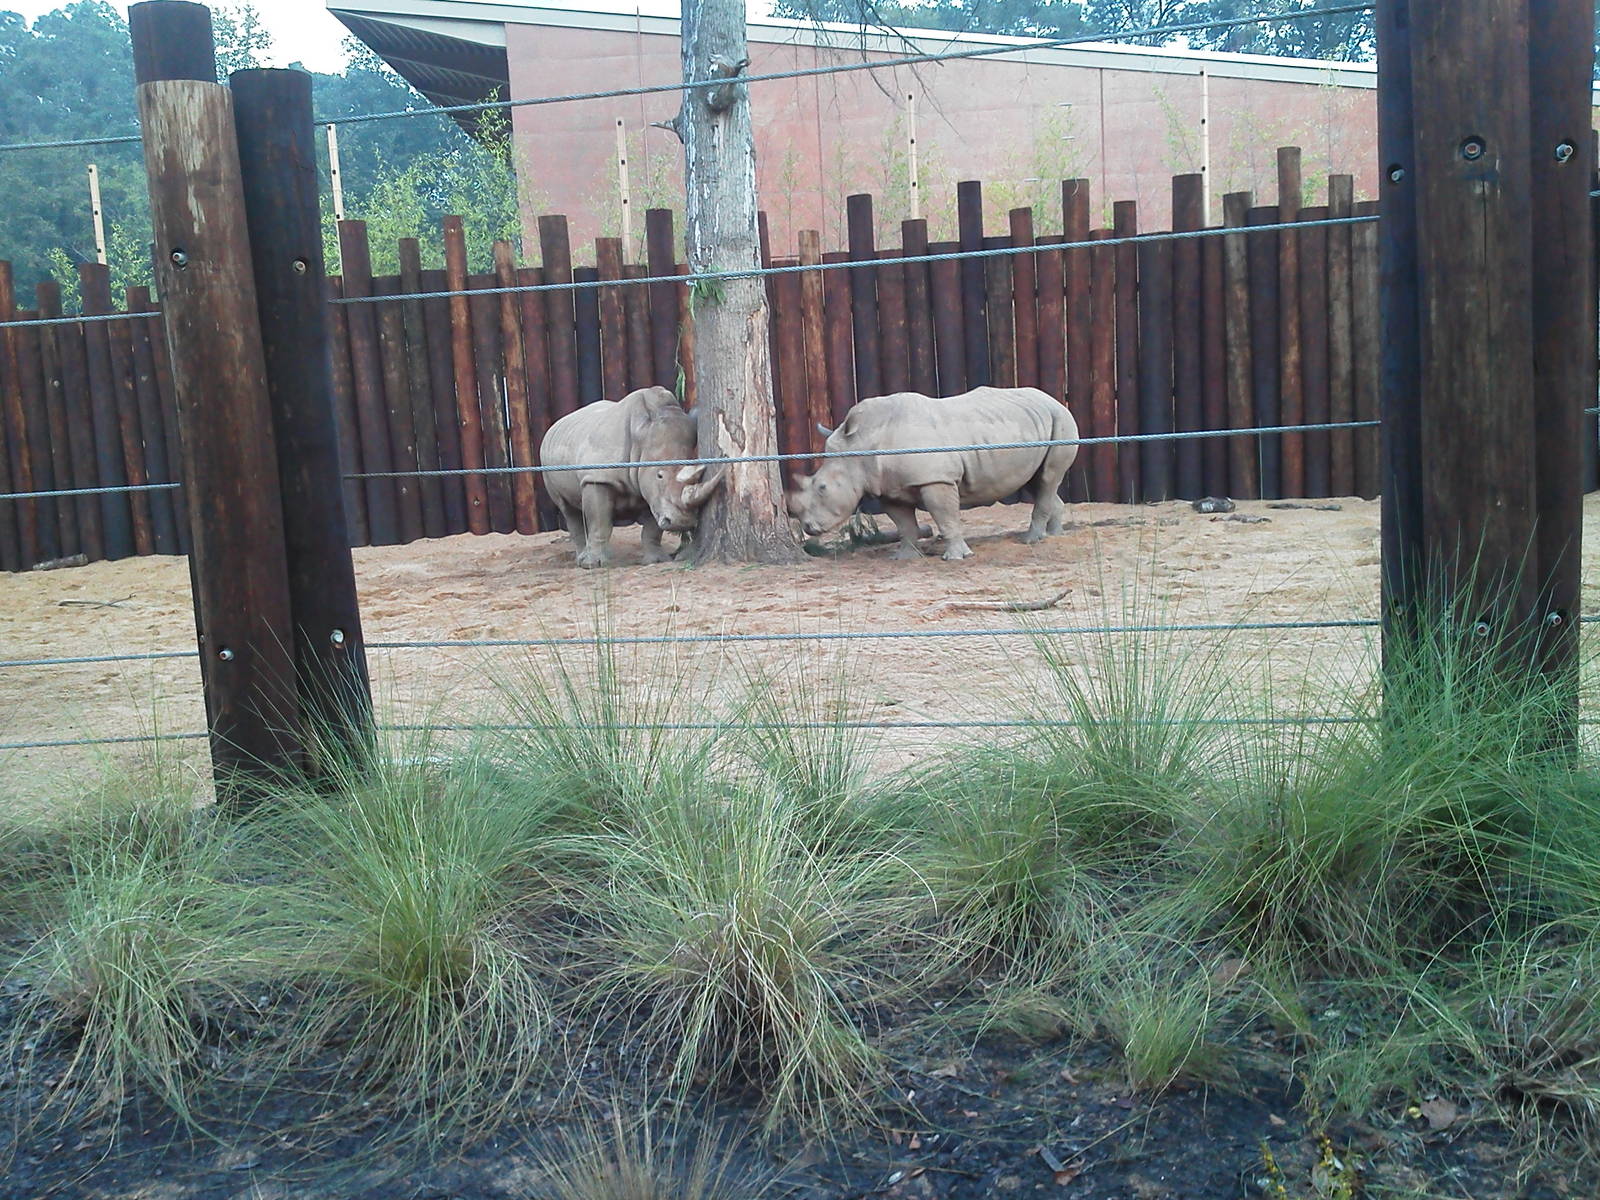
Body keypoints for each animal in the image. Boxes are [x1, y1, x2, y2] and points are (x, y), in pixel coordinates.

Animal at [540, 386, 724, 568]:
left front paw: (657, 560)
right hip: (546, 460)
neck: (640, 443)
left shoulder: (652, 491)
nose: (683, 522)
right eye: (659, 476)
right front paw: (593, 564)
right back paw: (581, 559)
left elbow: (652, 527)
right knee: (567, 509)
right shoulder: (597, 477)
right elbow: (599, 522)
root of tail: (555, 425)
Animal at [787, 386, 1078, 561]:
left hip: (1062, 420)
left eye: (822, 488)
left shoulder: (936, 479)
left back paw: (1031, 541)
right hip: (1036, 424)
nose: (808, 527)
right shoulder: (890, 488)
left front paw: (957, 557)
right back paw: (1054, 535)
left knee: (1048, 477)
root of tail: (1054, 400)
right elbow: (904, 524)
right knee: (1038, 481)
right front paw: (904, 557)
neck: (862, 445)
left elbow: (946, 517)